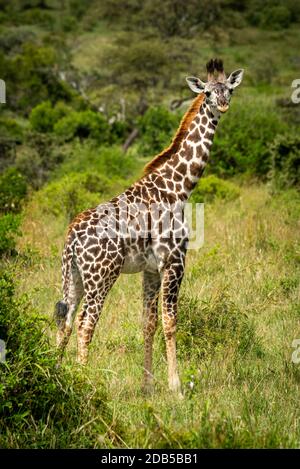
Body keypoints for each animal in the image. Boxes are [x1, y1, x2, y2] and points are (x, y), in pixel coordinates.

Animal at [54, 59, 244, 394]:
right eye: (207, 92)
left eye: (229, 89)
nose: (222, 104)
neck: (179, 187)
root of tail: (72, 237)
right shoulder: (174, 261)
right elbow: (170, 321)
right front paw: (176, 387)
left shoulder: (151, 269)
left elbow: (148, 323)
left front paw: (148, 386)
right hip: (102, 276)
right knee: (85, 322)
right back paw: (84, 383)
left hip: (73, 275)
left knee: (65, 320)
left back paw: (55, 375)